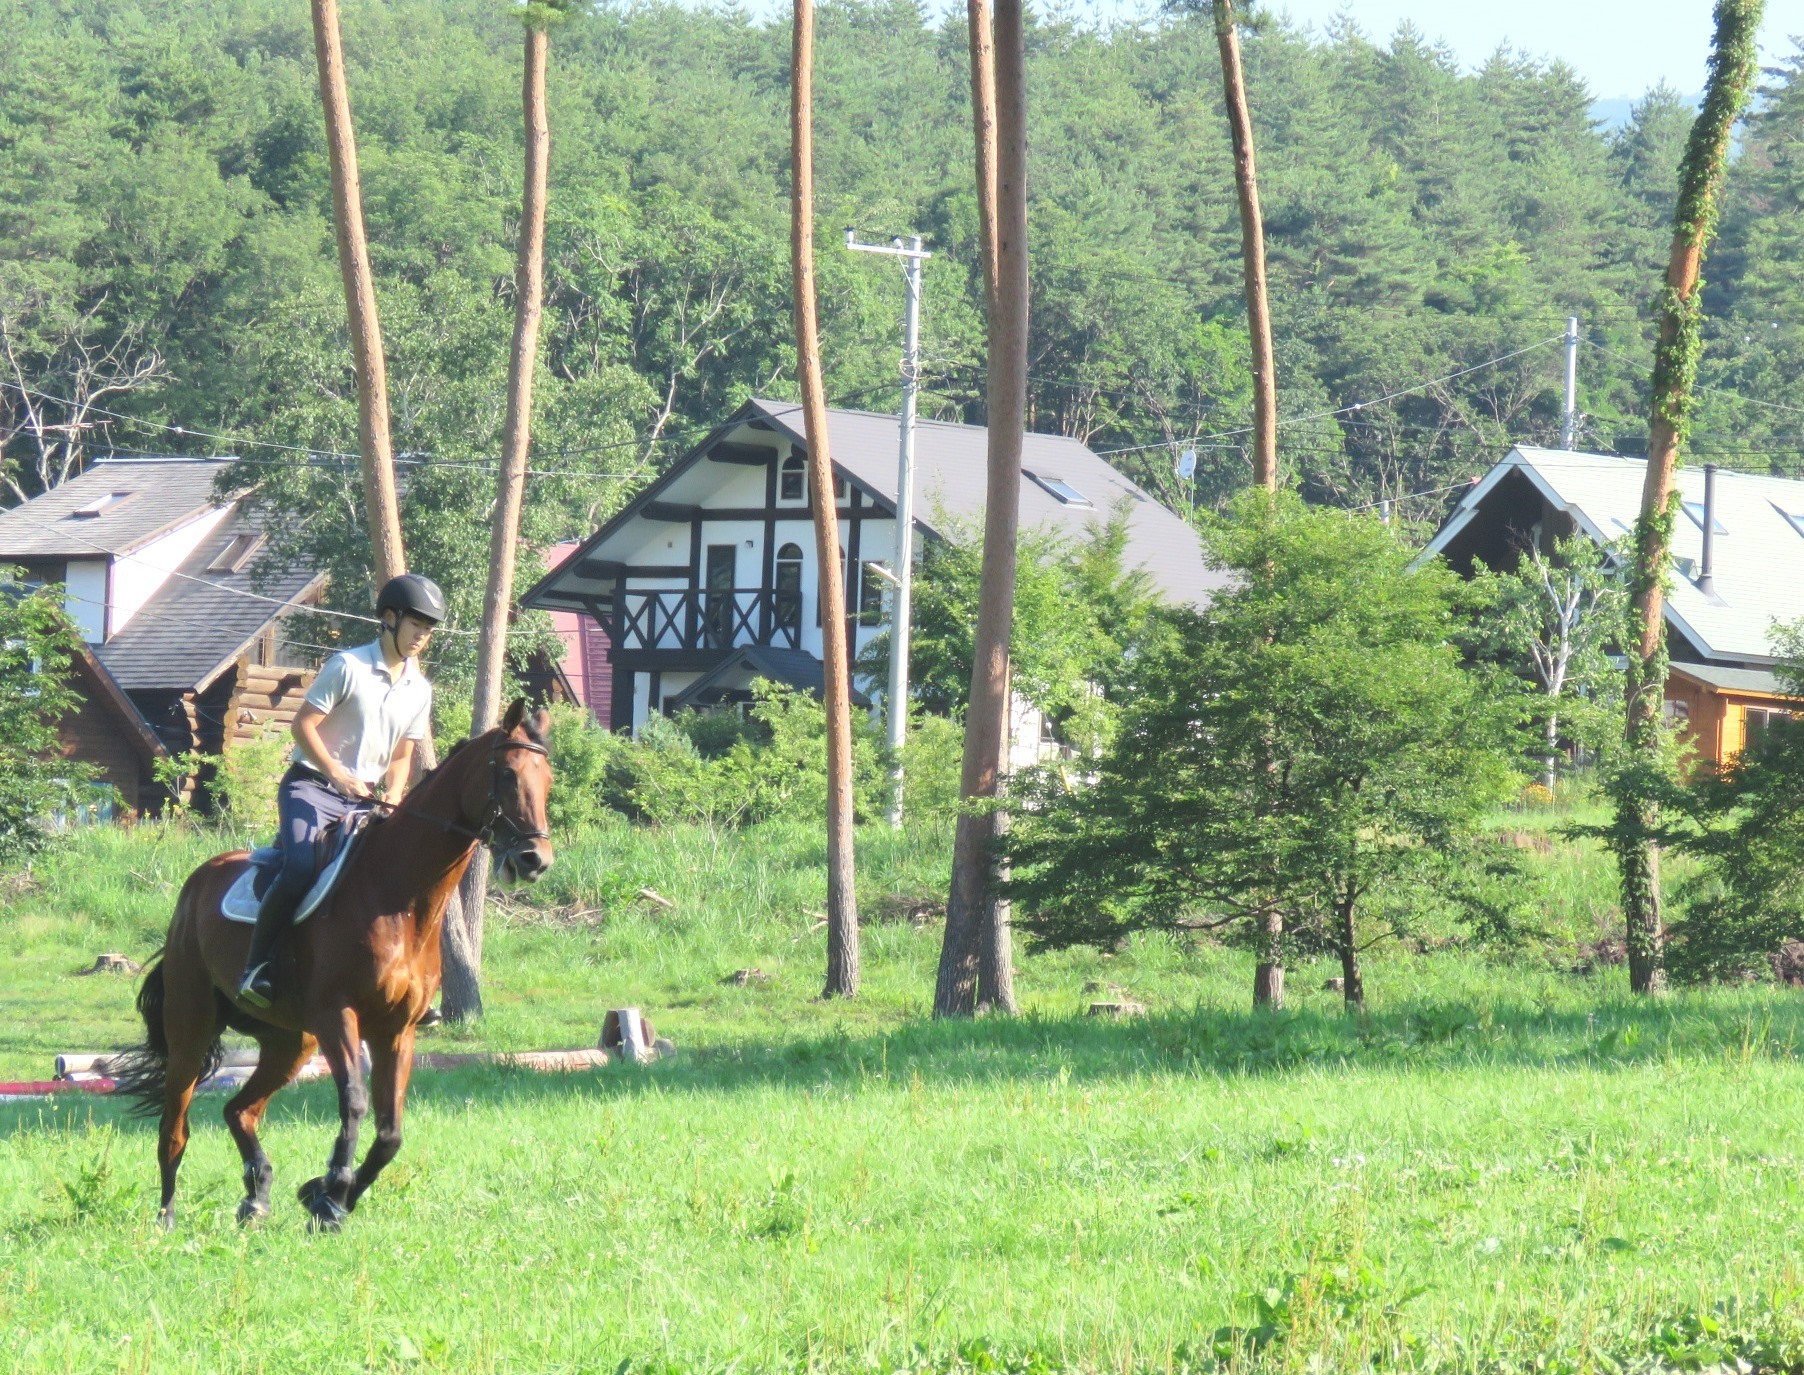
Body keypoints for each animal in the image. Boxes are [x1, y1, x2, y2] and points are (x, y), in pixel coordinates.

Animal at [116, 700, 552, 1227]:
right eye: (507, 774)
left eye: (547, 779)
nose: (534, 859)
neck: (400, 897)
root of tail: (197, 883)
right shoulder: (336, 1015)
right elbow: (356, 1102)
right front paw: (331, 1196)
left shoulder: (397, 1030)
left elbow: (390, 1131)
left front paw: (325, 1194)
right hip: (192, 1029)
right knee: (174, 1127)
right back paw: (166, 1217)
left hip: (290, 1042)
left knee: (240, 1110)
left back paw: (256, 1196)